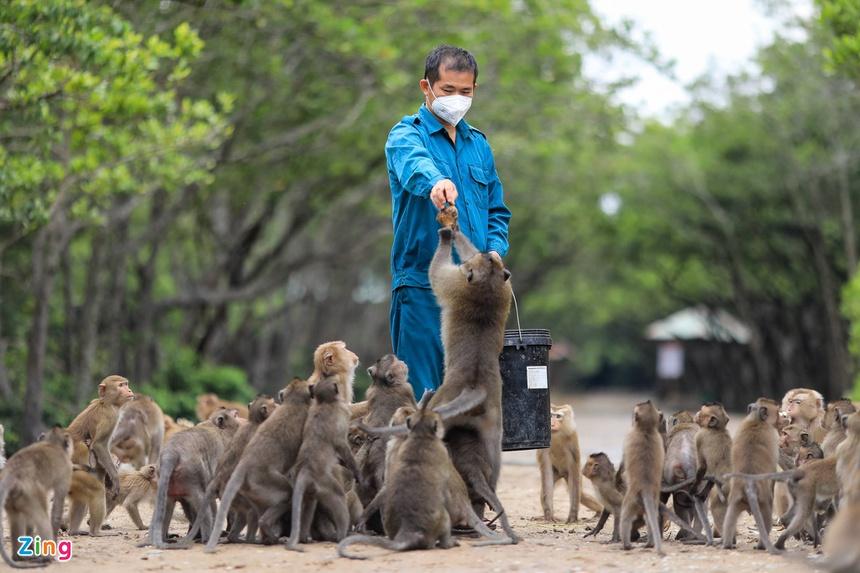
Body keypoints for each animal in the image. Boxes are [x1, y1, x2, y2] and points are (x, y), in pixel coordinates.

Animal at [0, 424, 72, 568]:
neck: (52, 443)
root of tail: (11, 473)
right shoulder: (66, 472)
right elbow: (56, 511)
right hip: (29, 493)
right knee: (42, 517)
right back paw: (47, 557)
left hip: (14, 498)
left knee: (17, 518)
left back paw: (18, 557)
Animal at [145, 408, 242, 548]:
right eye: (233, 414)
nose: (236, 410)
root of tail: (170, 454)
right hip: (190, 475)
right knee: (201, 501)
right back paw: (207, 538)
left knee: (166, 504)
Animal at [620, 402, 664, 556]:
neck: (646, 430)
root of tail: (646, 487)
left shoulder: (628, 437)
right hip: (651, 500)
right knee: (651, 517)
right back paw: (650, 543)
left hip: (631, 499)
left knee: (625, 517)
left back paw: (626, 545)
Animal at [724, 396, 784, 552]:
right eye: (777, 412)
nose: (781, 420)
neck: (756, 419)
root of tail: (749, 483)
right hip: (763, 500)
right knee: (767, 515)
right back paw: (762, 545)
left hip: (736, 498)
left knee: (730, 515)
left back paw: (727, 544)